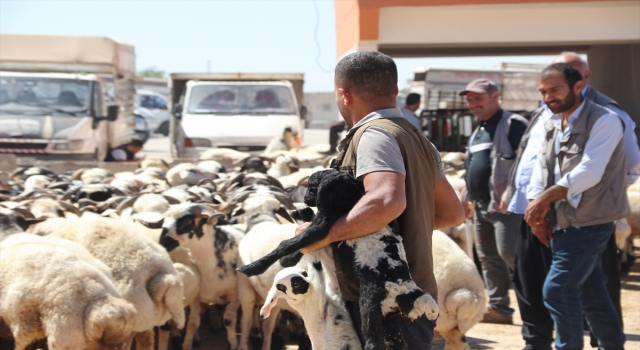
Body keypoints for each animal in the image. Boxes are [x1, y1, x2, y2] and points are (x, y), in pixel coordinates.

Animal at [238, 170, 438, 350]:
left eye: (312, 186)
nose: (305, 200)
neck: (350, 198)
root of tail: (408, 291)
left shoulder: (323, 225)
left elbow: (289, 243)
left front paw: (251, 268)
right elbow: (301, 241)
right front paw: (288, 259)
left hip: (370, 306)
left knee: (374, 342)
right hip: (388, 317)